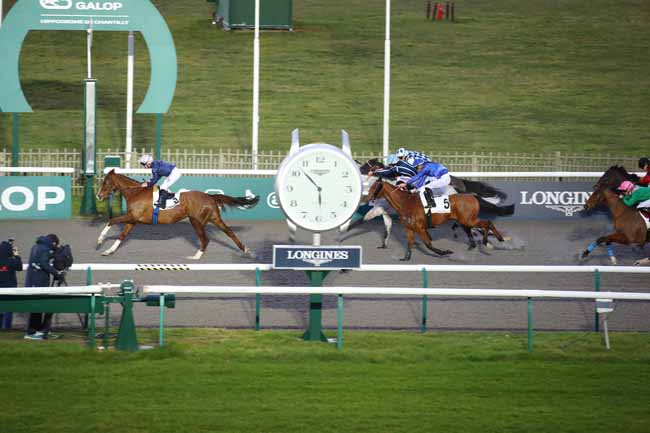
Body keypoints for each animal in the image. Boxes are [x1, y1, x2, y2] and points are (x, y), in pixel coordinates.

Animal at [96, 168, 258, 256]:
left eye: (105, 182)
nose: (98, 196)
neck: (136, 193)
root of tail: (210, 196)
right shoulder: (133, 220)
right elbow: (122, 235)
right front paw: (108, 251)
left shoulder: (132, 216)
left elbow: (111, 220)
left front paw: (100, 240)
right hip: (214, 218)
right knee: (229, 232)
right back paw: (246, 250)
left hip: (197, 221)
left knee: (206, 239)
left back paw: (196, 256)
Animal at [368, 179, 504, 260]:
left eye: (374, 187)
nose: (368, 198)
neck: (405, 202)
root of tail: (473, 196)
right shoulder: (409, 228)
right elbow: (409, 243)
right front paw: (406, 257)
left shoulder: (420, 228)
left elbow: (428, 244)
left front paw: (445, 252)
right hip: (465, 220)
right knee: (476, 228)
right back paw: (478, 243)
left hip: (468, 220)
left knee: (487, 223)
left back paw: (494, 240)